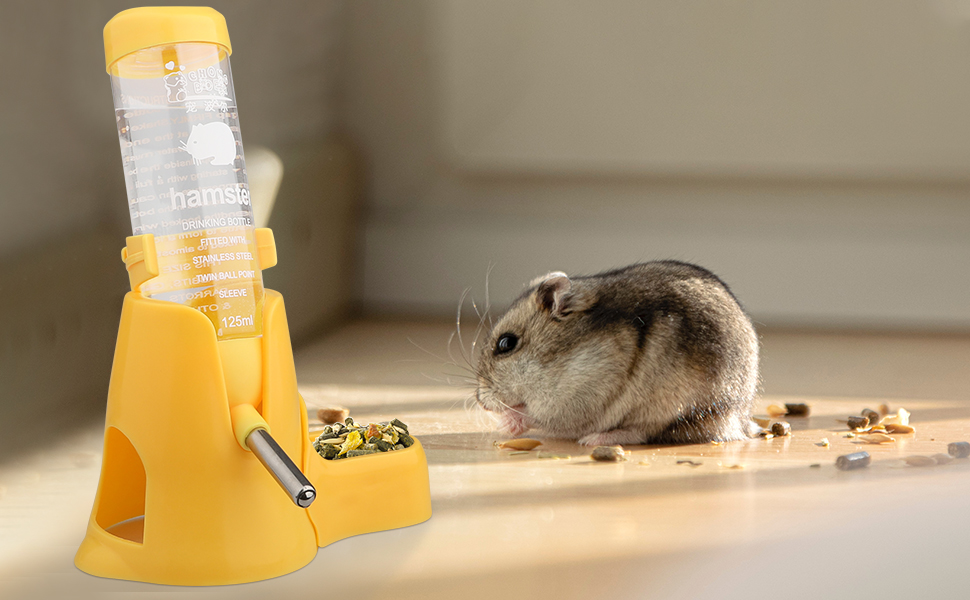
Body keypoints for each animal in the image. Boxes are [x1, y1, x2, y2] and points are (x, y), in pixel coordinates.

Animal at [475, 261, 759, 446]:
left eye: (506, 343)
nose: (480, 401)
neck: (561, 360)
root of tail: (740, 419)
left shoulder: (580, 395)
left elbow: (536, 414)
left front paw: (506, 423)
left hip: (671, 408)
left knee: (643, 433)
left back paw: (595, 439)